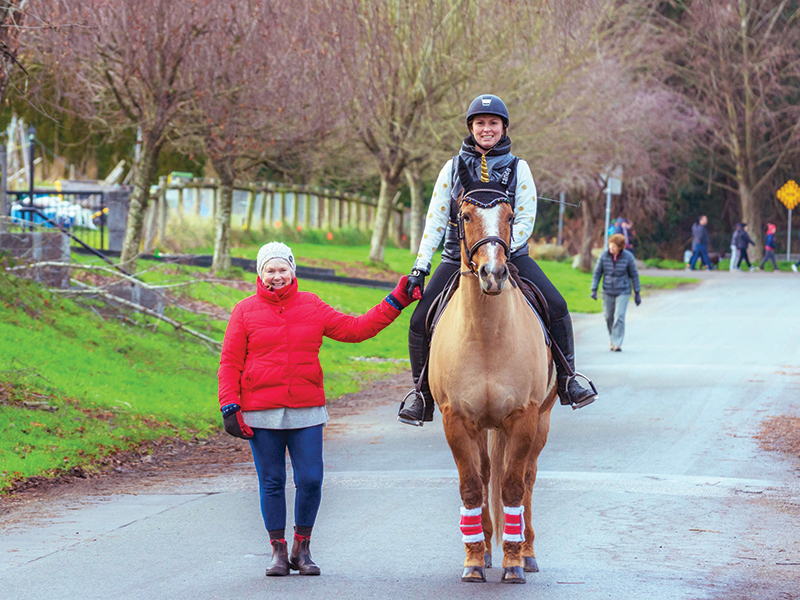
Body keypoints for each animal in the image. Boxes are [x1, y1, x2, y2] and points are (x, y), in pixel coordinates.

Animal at [428, 159, 558, 584]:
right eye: (465, 215)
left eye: (511, 216)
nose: (493, 274)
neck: (486, 337)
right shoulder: (457, 420)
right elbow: (472, 486)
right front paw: (472, 561)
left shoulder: (523, 418)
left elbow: (514, 488)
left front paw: (514, 564)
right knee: (486, 476)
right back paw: (484, 548)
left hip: (542, 420)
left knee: (527, 478)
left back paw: (527, 553)